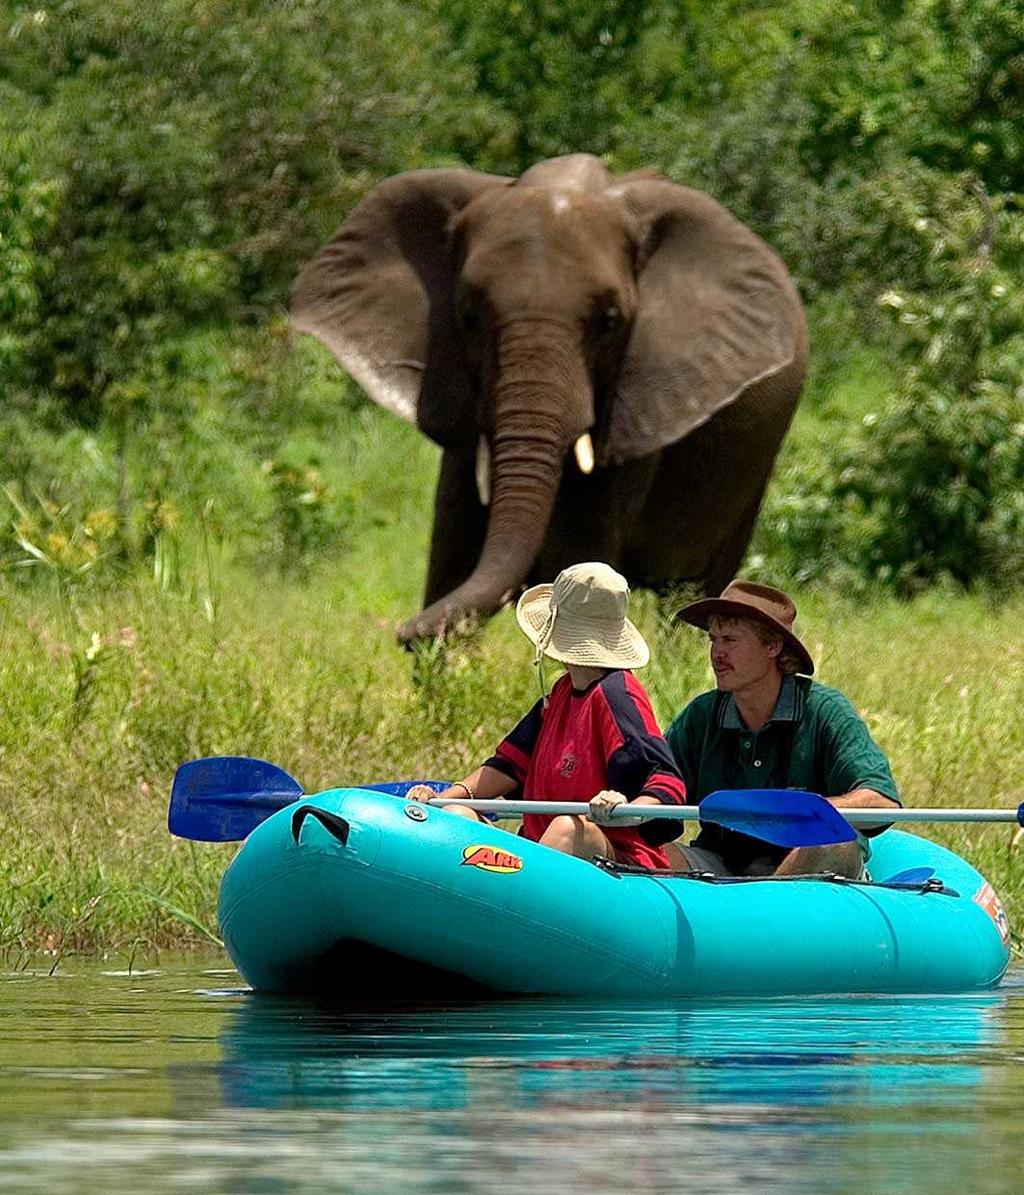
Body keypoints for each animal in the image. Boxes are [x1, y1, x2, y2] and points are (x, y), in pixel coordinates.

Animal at [289, 160, 807, 650]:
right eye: (469, 317)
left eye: (609, 322)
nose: (402, 630)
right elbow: (455, 551)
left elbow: (576, 553)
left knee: (695, 598)